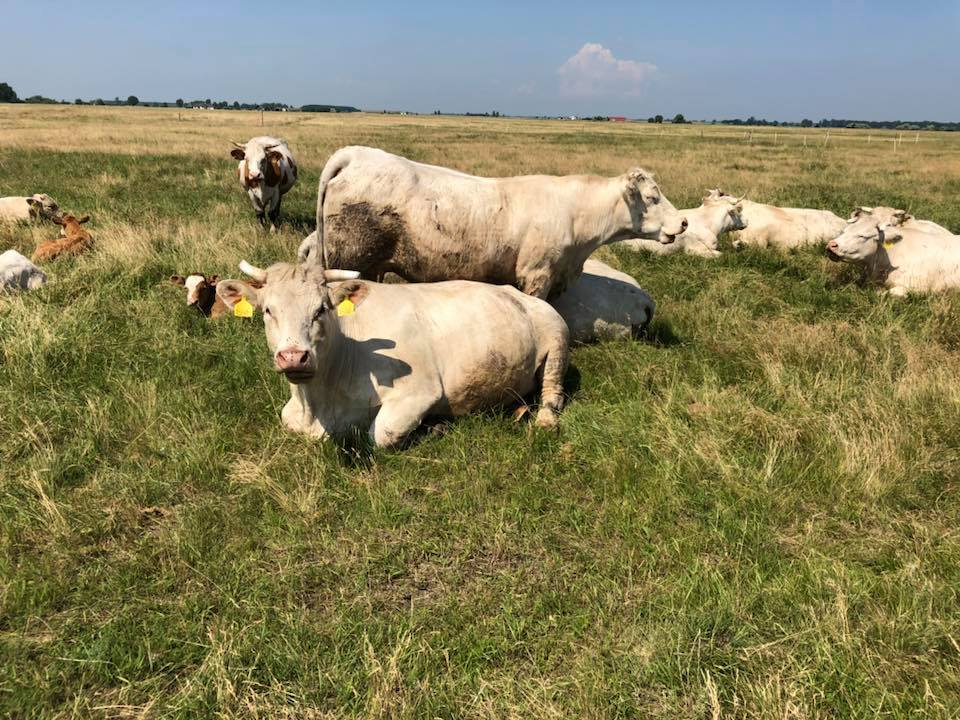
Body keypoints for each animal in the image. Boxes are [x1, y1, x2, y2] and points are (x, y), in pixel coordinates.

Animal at [216, 262, 568, 448]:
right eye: (268, 311)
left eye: (322, 309)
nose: (293, 356)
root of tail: (517, 293)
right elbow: (286, 418)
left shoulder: (420, 392)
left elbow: (380, 434)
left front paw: (433, 427)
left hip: (556, 342)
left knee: (552, 395)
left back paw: (543, 421)